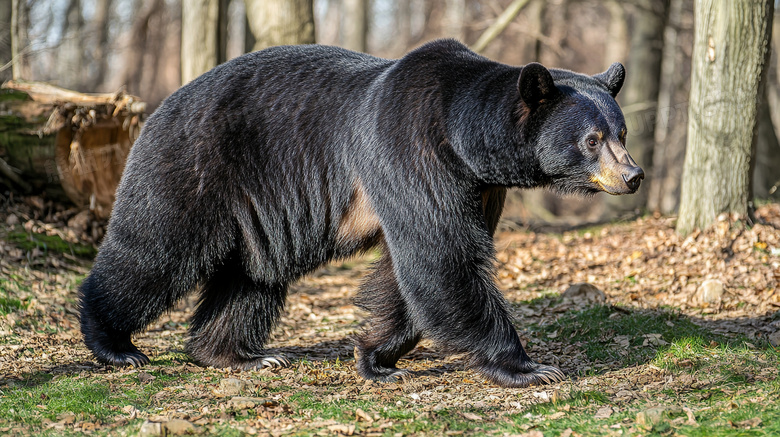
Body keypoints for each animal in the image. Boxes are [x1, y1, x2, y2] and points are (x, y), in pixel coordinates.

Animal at [79, 39, 644, 386]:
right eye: (592, 140)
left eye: (621, 132)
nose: (633, 175)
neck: (466, 144)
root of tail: (157, 105)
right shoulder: (412, 152)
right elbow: (442, 258)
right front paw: (528, 366)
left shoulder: (478, 188)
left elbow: (407, 270)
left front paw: (376, 358)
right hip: (195, 166)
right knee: (155, 250)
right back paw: (116, 344)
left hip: (258, 210)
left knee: (252, 278)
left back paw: (241, 353)